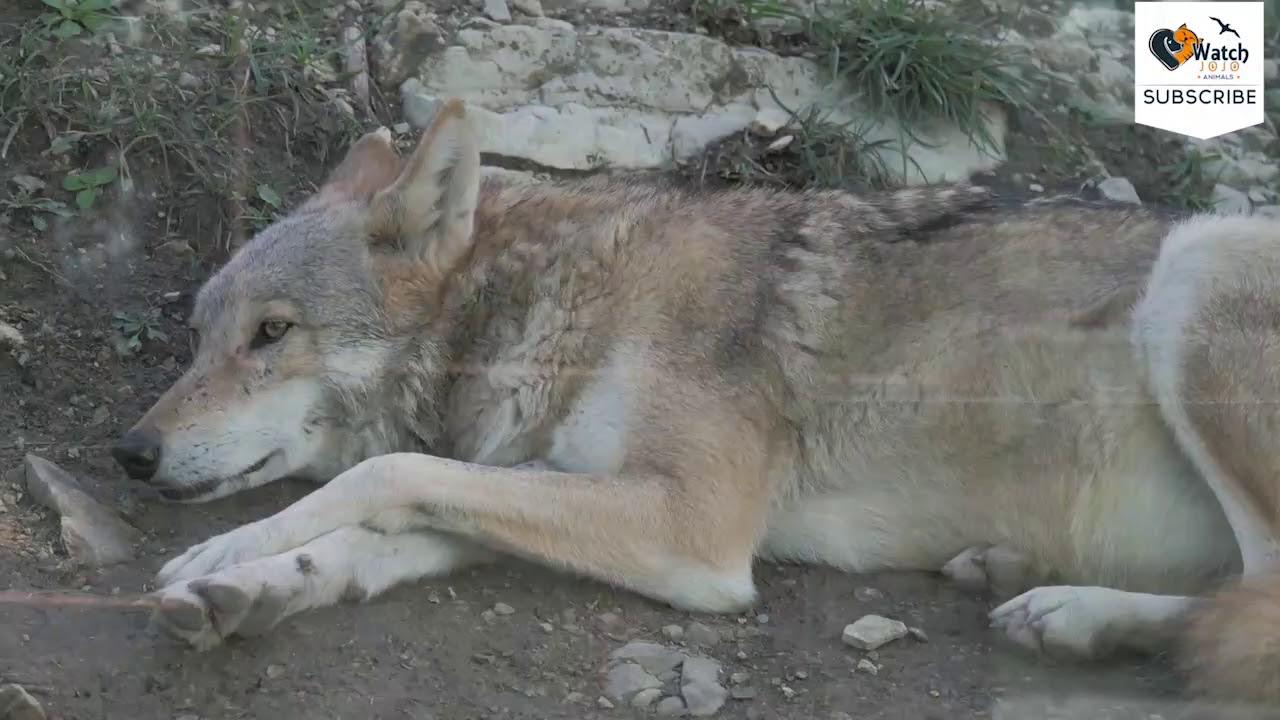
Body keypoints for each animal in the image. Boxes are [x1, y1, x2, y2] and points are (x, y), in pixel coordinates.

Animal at [113, 99, 1280, 704]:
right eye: (199, 334)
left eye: (272, 334)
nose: (131, 452)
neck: (561, 307)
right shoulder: (559, 482)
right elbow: (380, 527)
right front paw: (251, 587)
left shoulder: (691, 524)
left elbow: (383, 470)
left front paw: (227, 550)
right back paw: (1036, 590)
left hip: (1197, 267)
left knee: (1259, 600)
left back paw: (1077, 614)